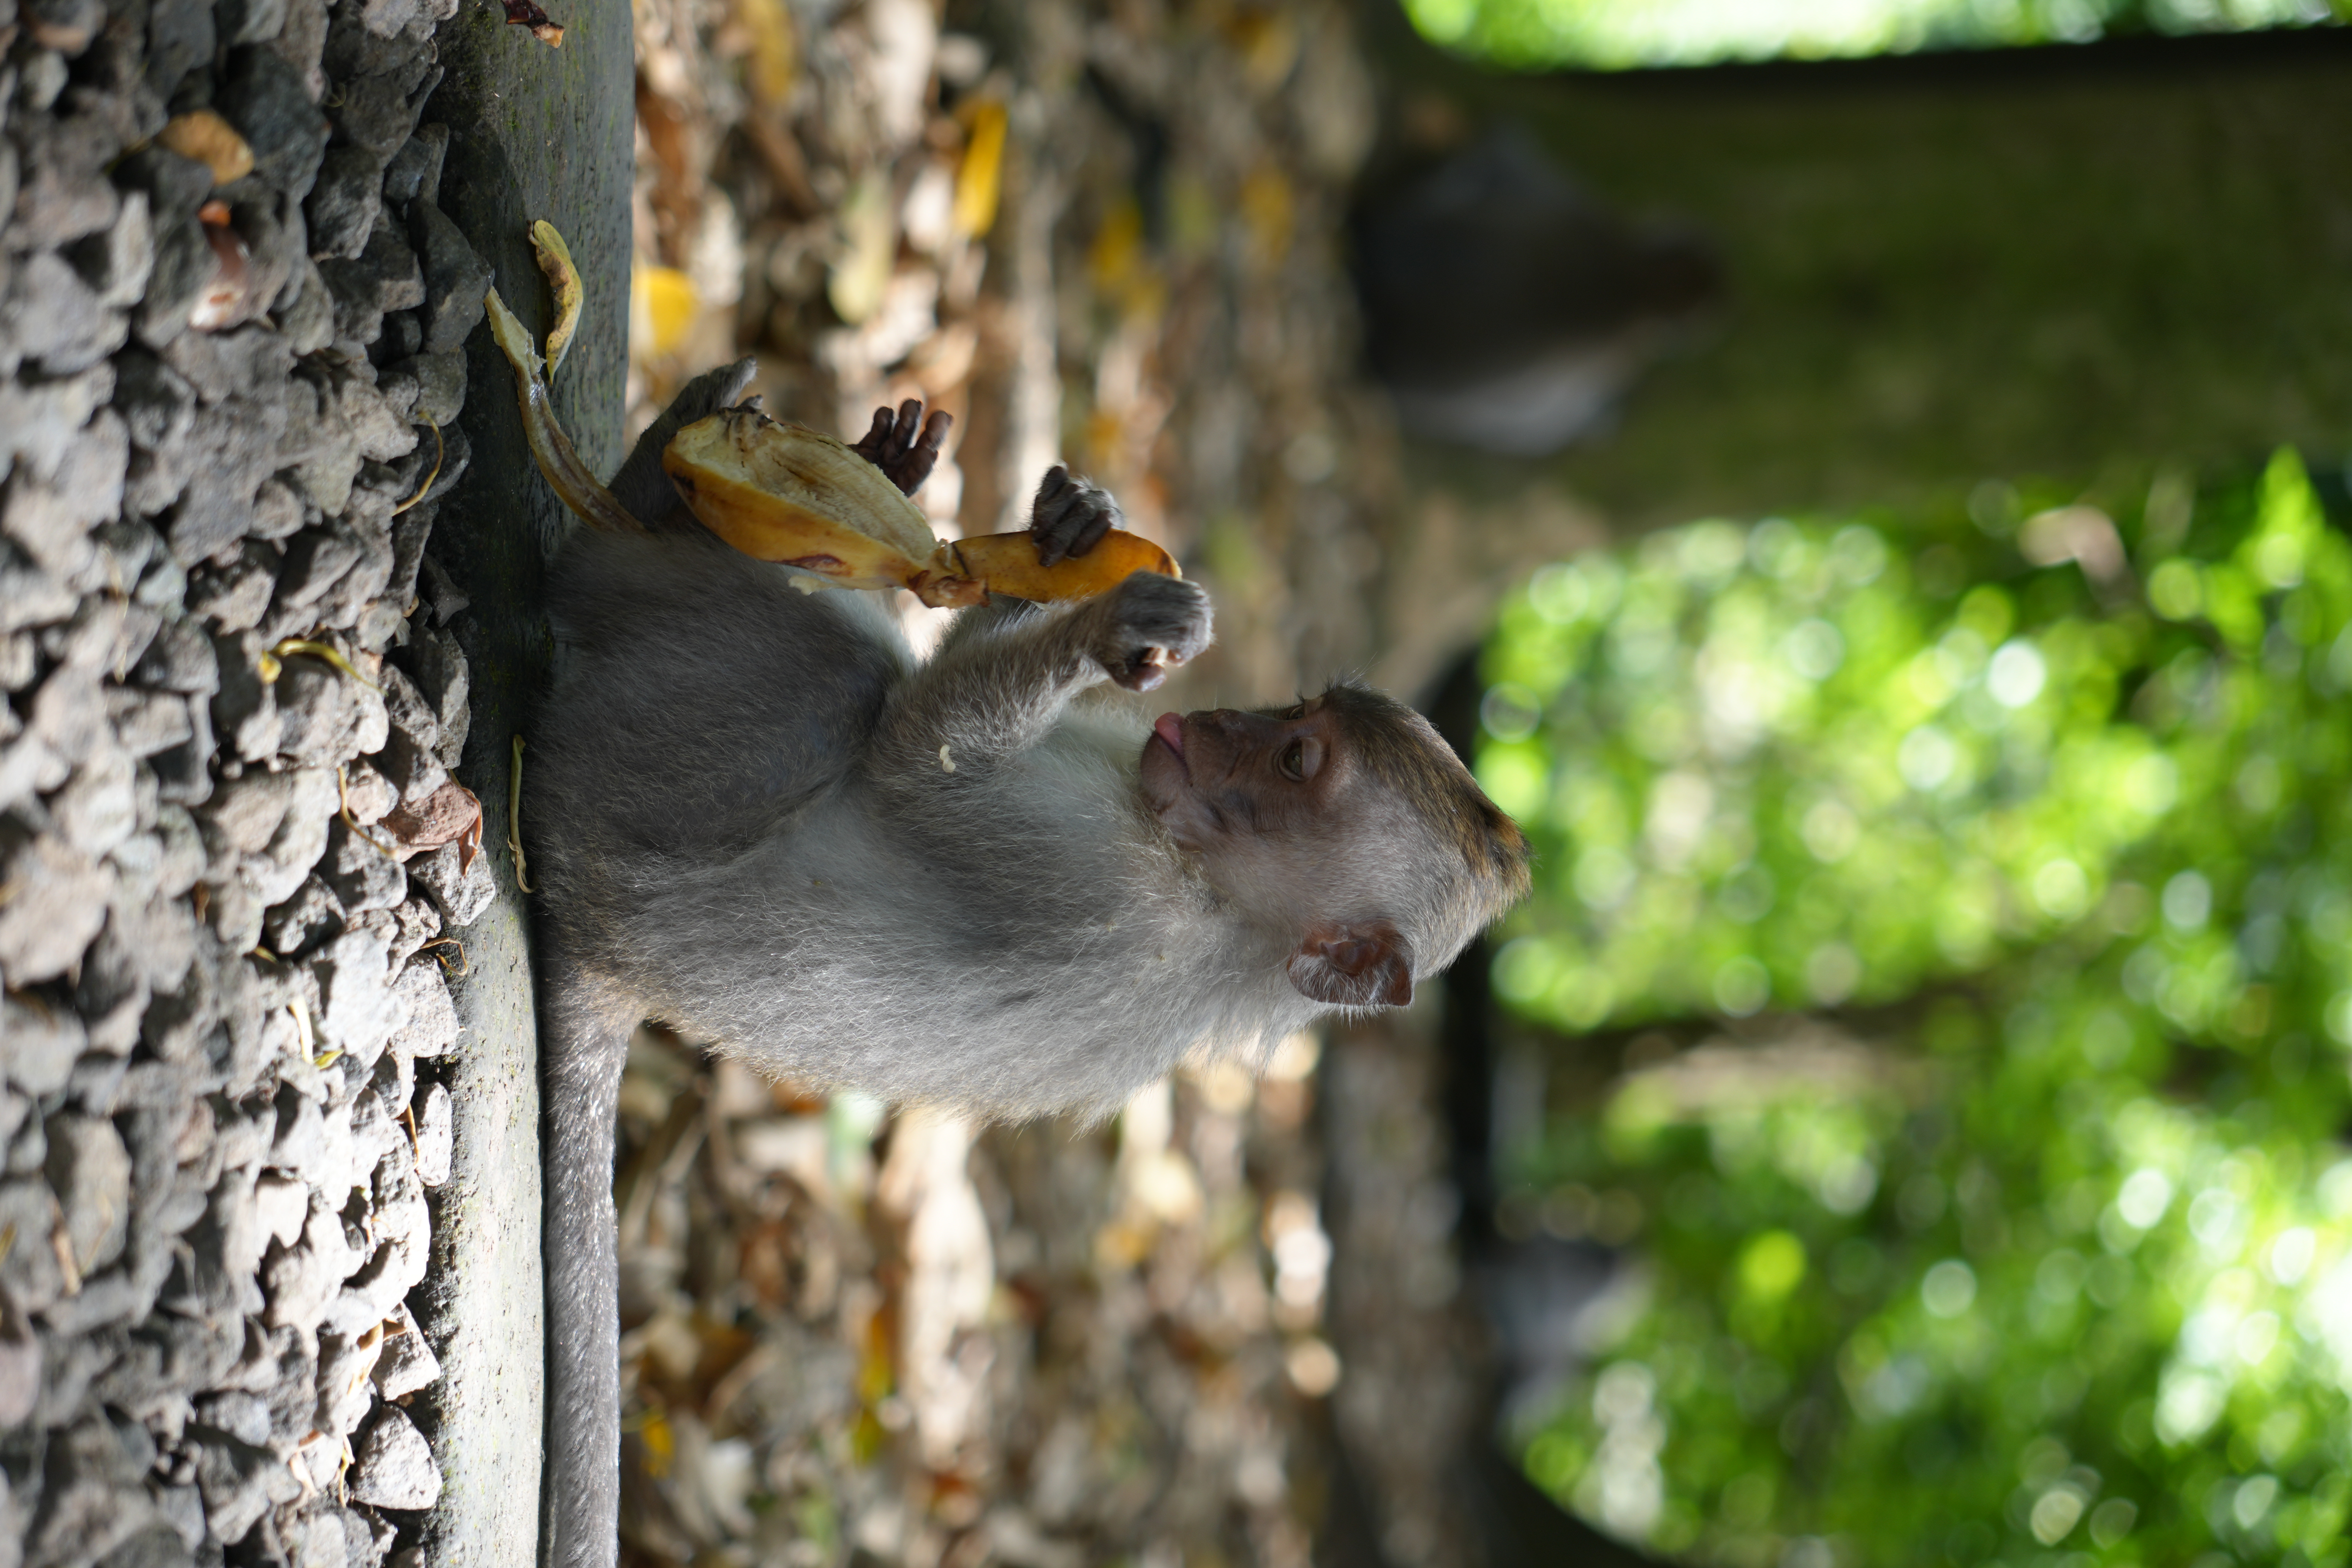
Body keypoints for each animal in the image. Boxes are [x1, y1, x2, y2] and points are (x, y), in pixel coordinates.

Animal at [526, 362, 1531, 1568]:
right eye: (1297, 716)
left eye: (1293, 759)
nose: (1220, 718)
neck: (1230, 914)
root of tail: (605, 946)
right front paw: (1071, 541)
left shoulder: (1105, 886)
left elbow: (911, 759)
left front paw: (1104, 619)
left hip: (635, 780)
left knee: (838, 682)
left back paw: (632, 502)